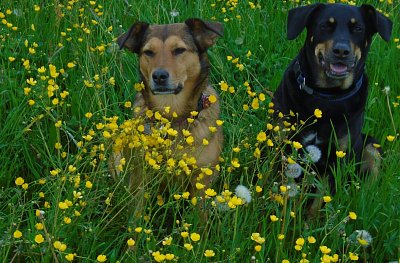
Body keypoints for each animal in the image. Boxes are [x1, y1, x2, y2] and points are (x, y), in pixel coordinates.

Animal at [112, 19, 223, 217]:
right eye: (148, 52)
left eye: (179, 50)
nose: (159, 76)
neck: (172, 116)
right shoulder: (139, 175)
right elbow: (135, 214)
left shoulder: (202, 180)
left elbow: (199, 219)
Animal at [274, 3, 392, 195]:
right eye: (325, 26)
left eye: (358, 28)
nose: (341, 51)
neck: (326, 95)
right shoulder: (282, 145)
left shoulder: (336, 159)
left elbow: (319, 199)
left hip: (371, 146)